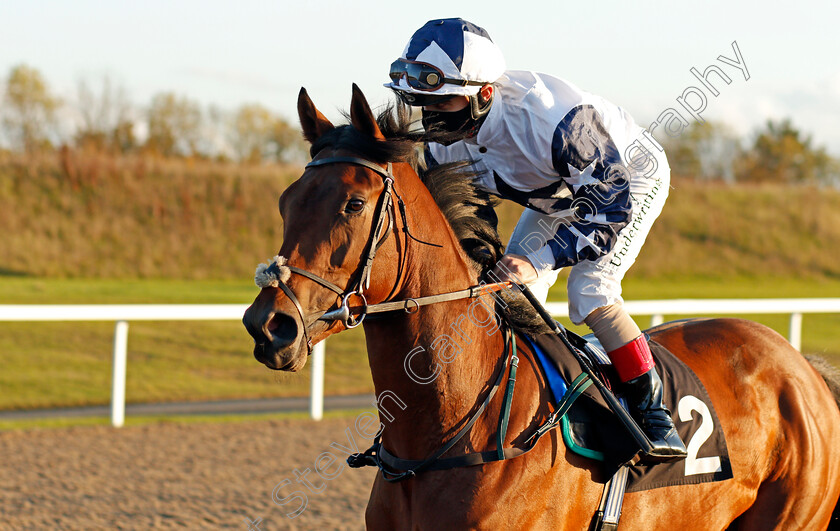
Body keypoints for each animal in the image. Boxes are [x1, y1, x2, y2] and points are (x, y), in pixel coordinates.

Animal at [243, 85, 840, 528]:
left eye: (354, 203)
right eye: (286, 201)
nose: (268, 326)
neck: (449, 432)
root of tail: (801, 366)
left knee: (594, 287)